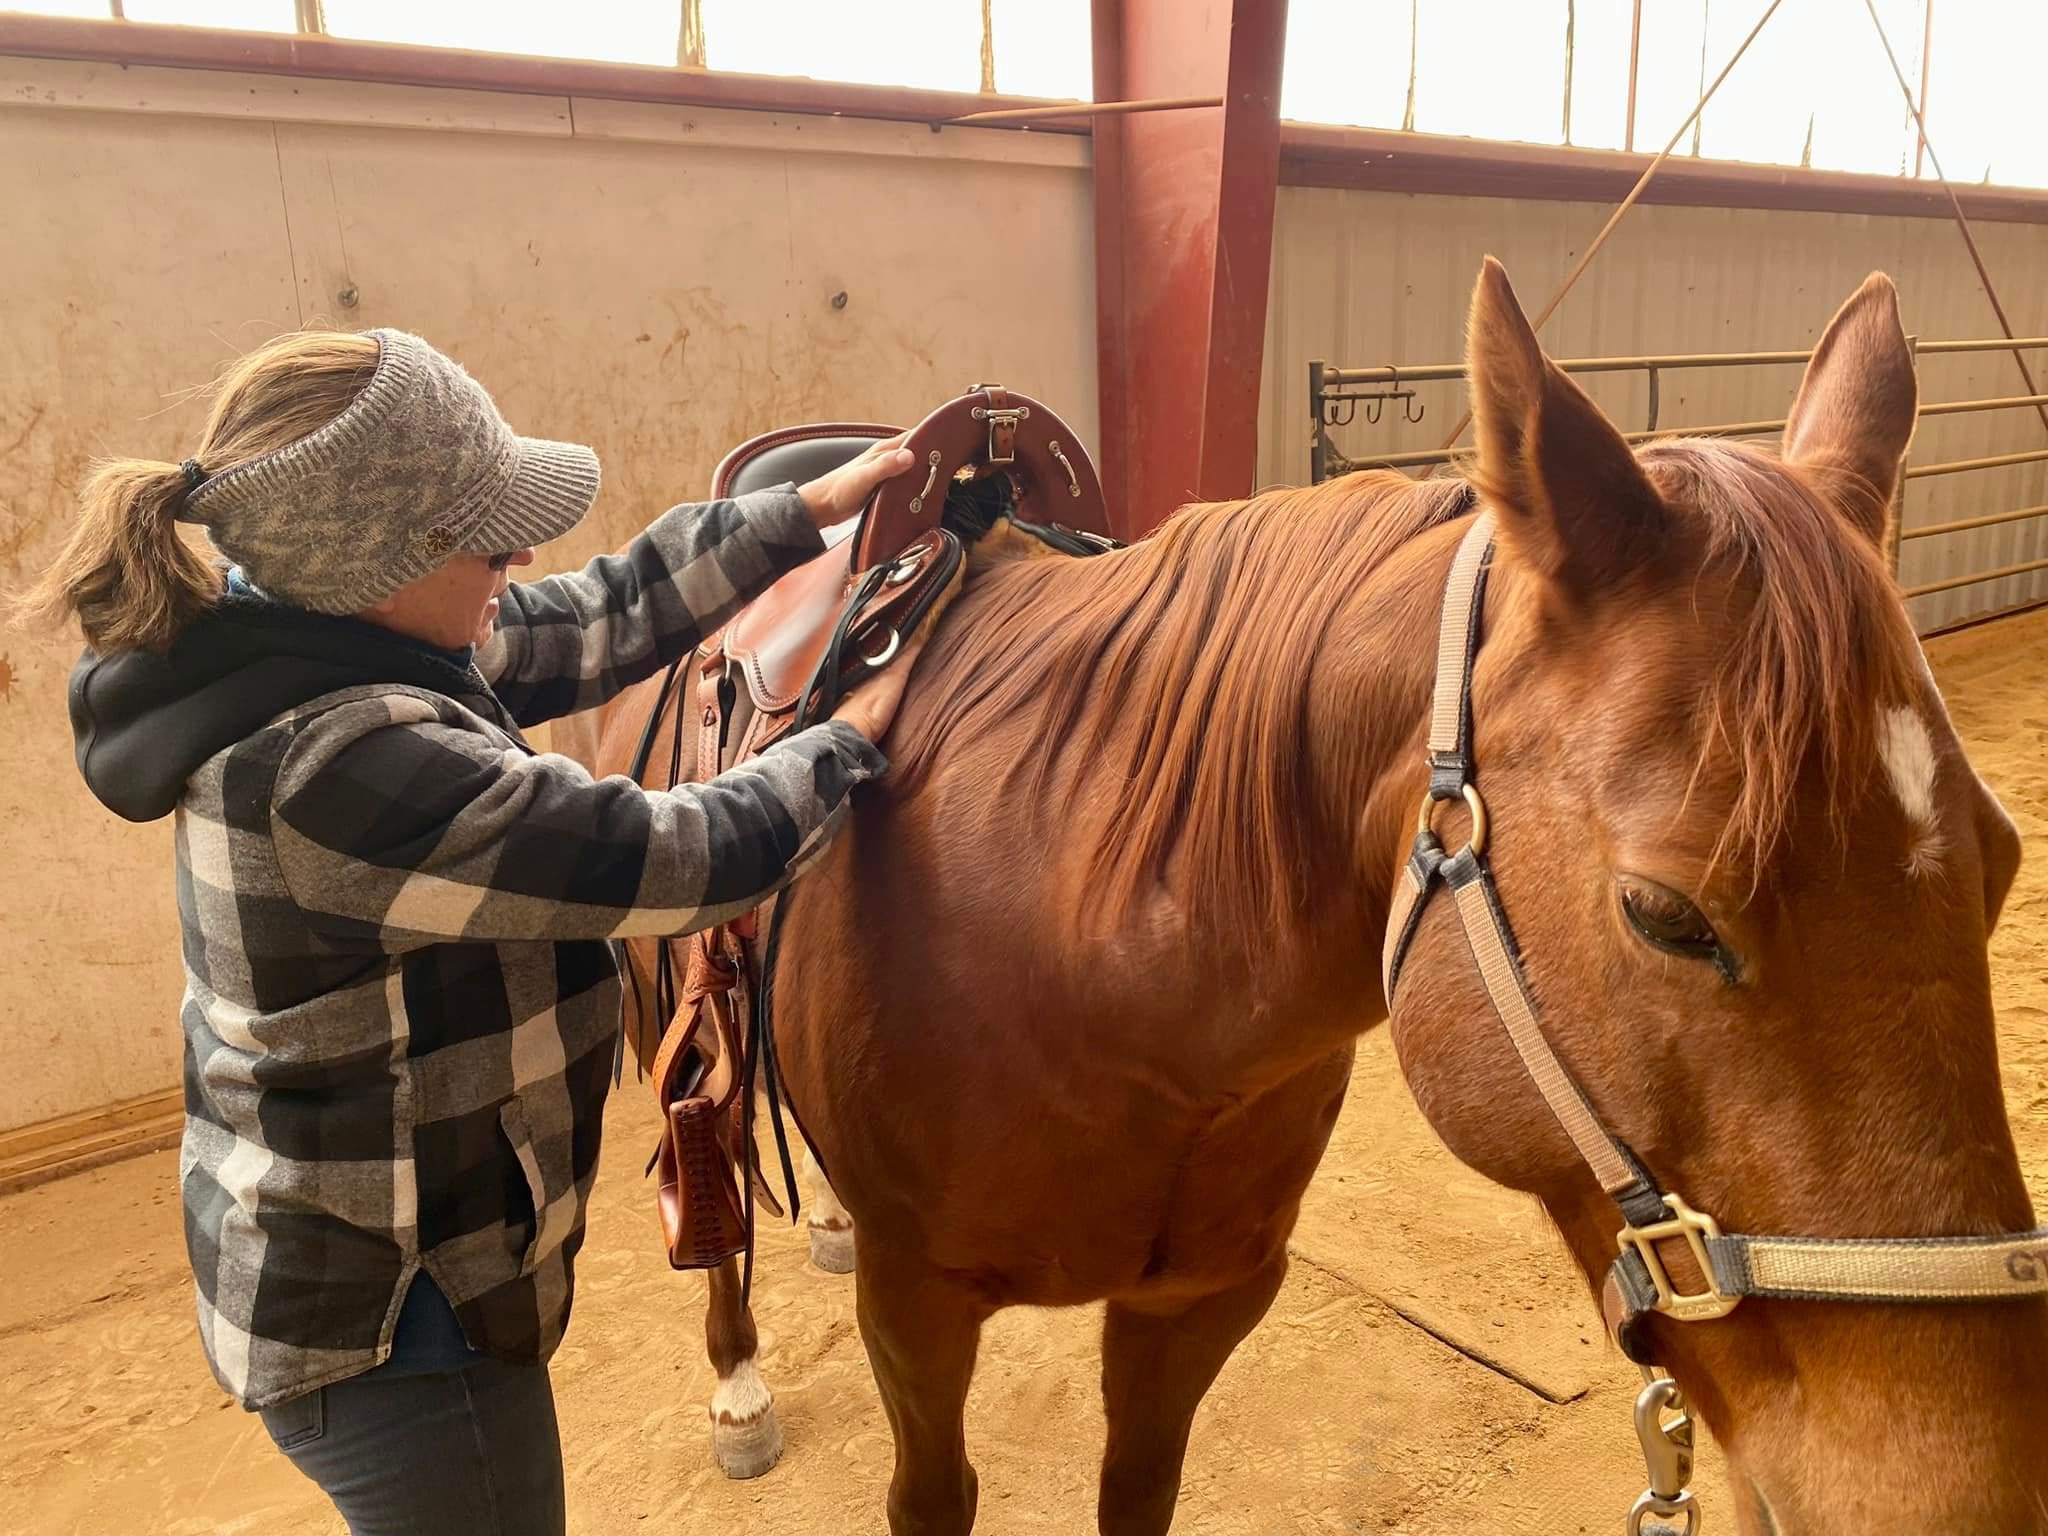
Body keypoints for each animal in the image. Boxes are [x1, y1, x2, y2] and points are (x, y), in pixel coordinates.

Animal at [589, 259, 2031, 1531]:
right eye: (1665, 917)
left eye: (2004, 860)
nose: (1957, 1493)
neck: (1086, 955)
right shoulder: (918, 1309)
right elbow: (928, 1498)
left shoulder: (1198, 1303)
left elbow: (1138, 1495)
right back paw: (737, 1383)